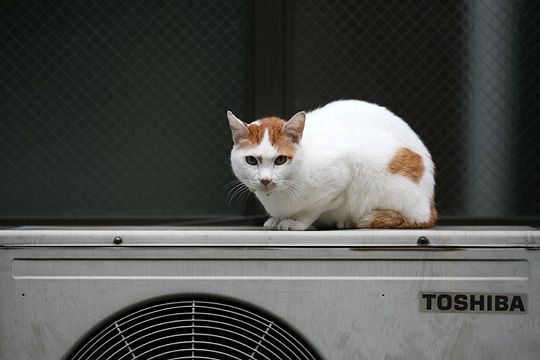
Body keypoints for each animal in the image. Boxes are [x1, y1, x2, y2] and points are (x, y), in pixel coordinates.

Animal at [226, 100, 436, 229]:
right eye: (251, 160)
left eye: (280, 160)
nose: (265, 180)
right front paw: (276, 220)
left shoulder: (341, 177)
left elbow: (313, 209)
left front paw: (296, 221)